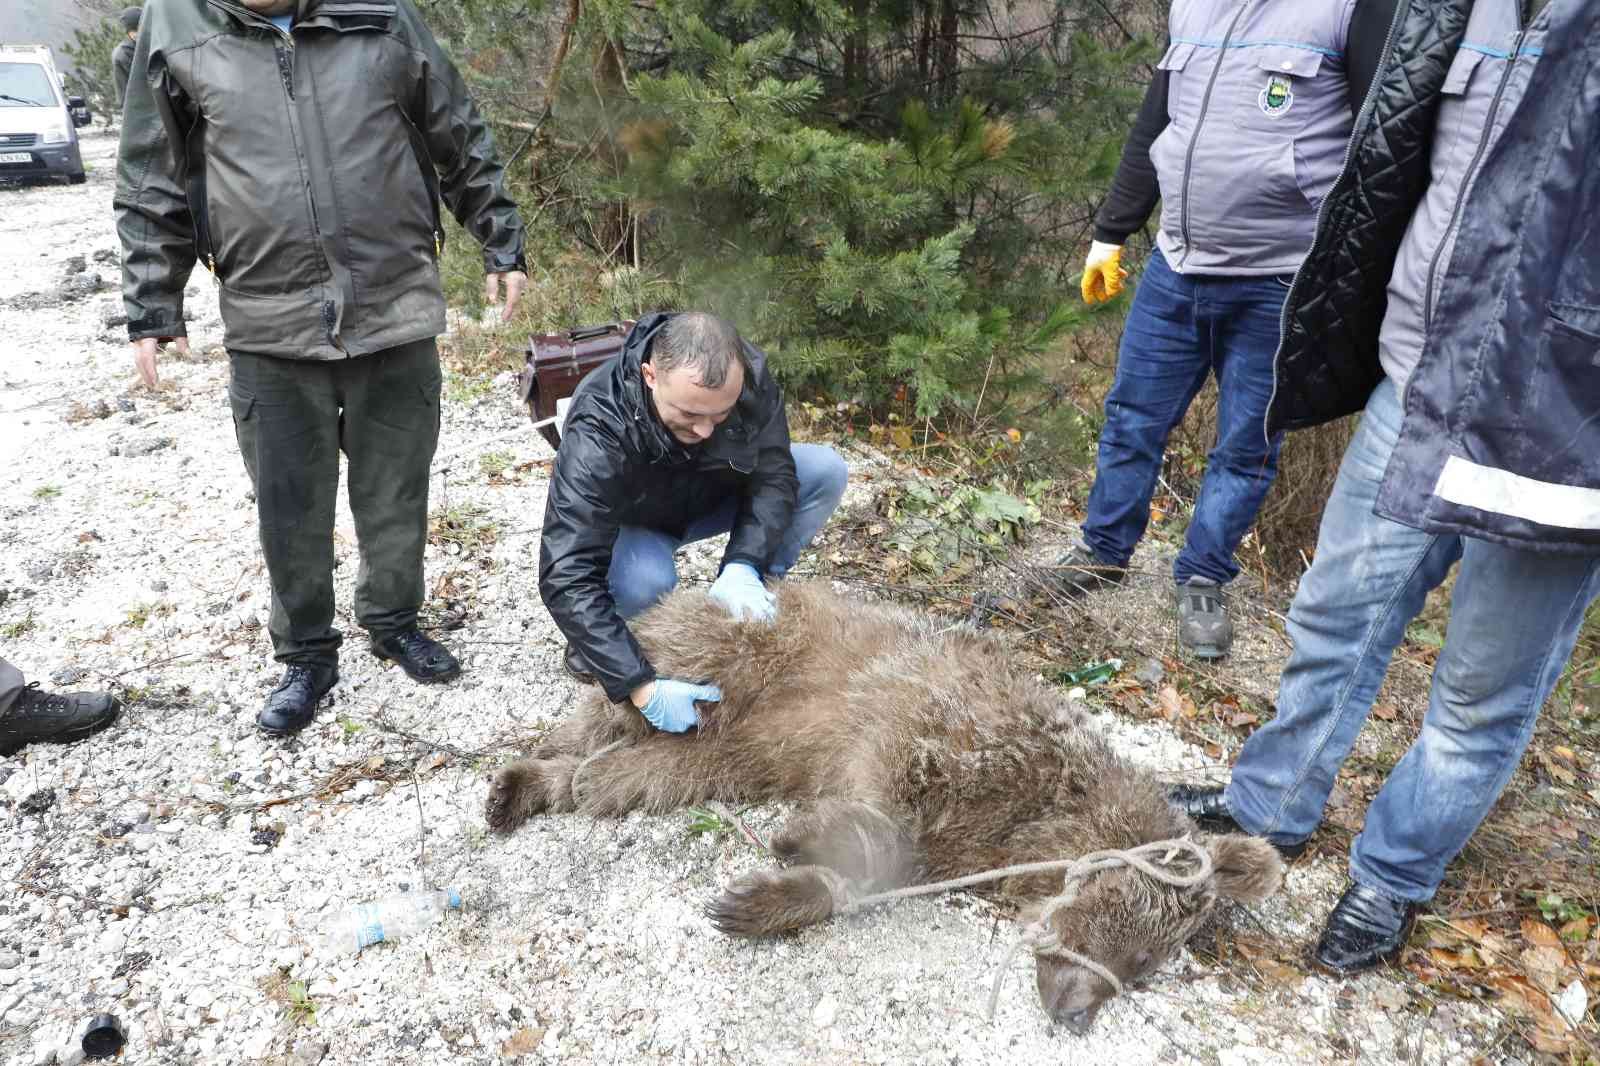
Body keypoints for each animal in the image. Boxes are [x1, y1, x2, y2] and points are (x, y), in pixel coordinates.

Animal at [480, 582, 1280, 1030]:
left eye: (1143, 971)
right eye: (1141, 950)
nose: (1079, 1013)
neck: (1041, 825)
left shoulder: (961, 838)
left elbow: (875, 869)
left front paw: (765, 896)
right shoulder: (939, 737)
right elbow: (884, 806)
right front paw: (802, 839)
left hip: (732, 753)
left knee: (638, 774)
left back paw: (540, 784)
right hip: (742, 649)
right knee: (627, 699)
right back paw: (532, 762)